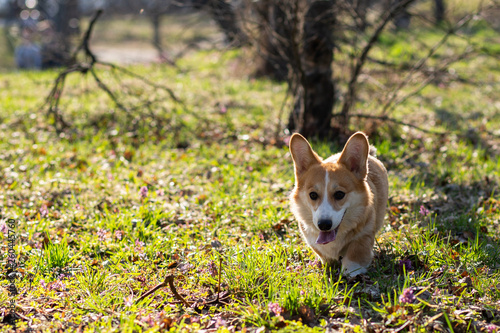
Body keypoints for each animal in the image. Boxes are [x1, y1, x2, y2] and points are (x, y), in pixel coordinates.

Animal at [288, 132, 388, 274]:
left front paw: (351, 272)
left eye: (339, 194)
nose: (324, 225)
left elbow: (355, 255)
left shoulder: (364, 234)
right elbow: (321, 253)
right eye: (313, 195)